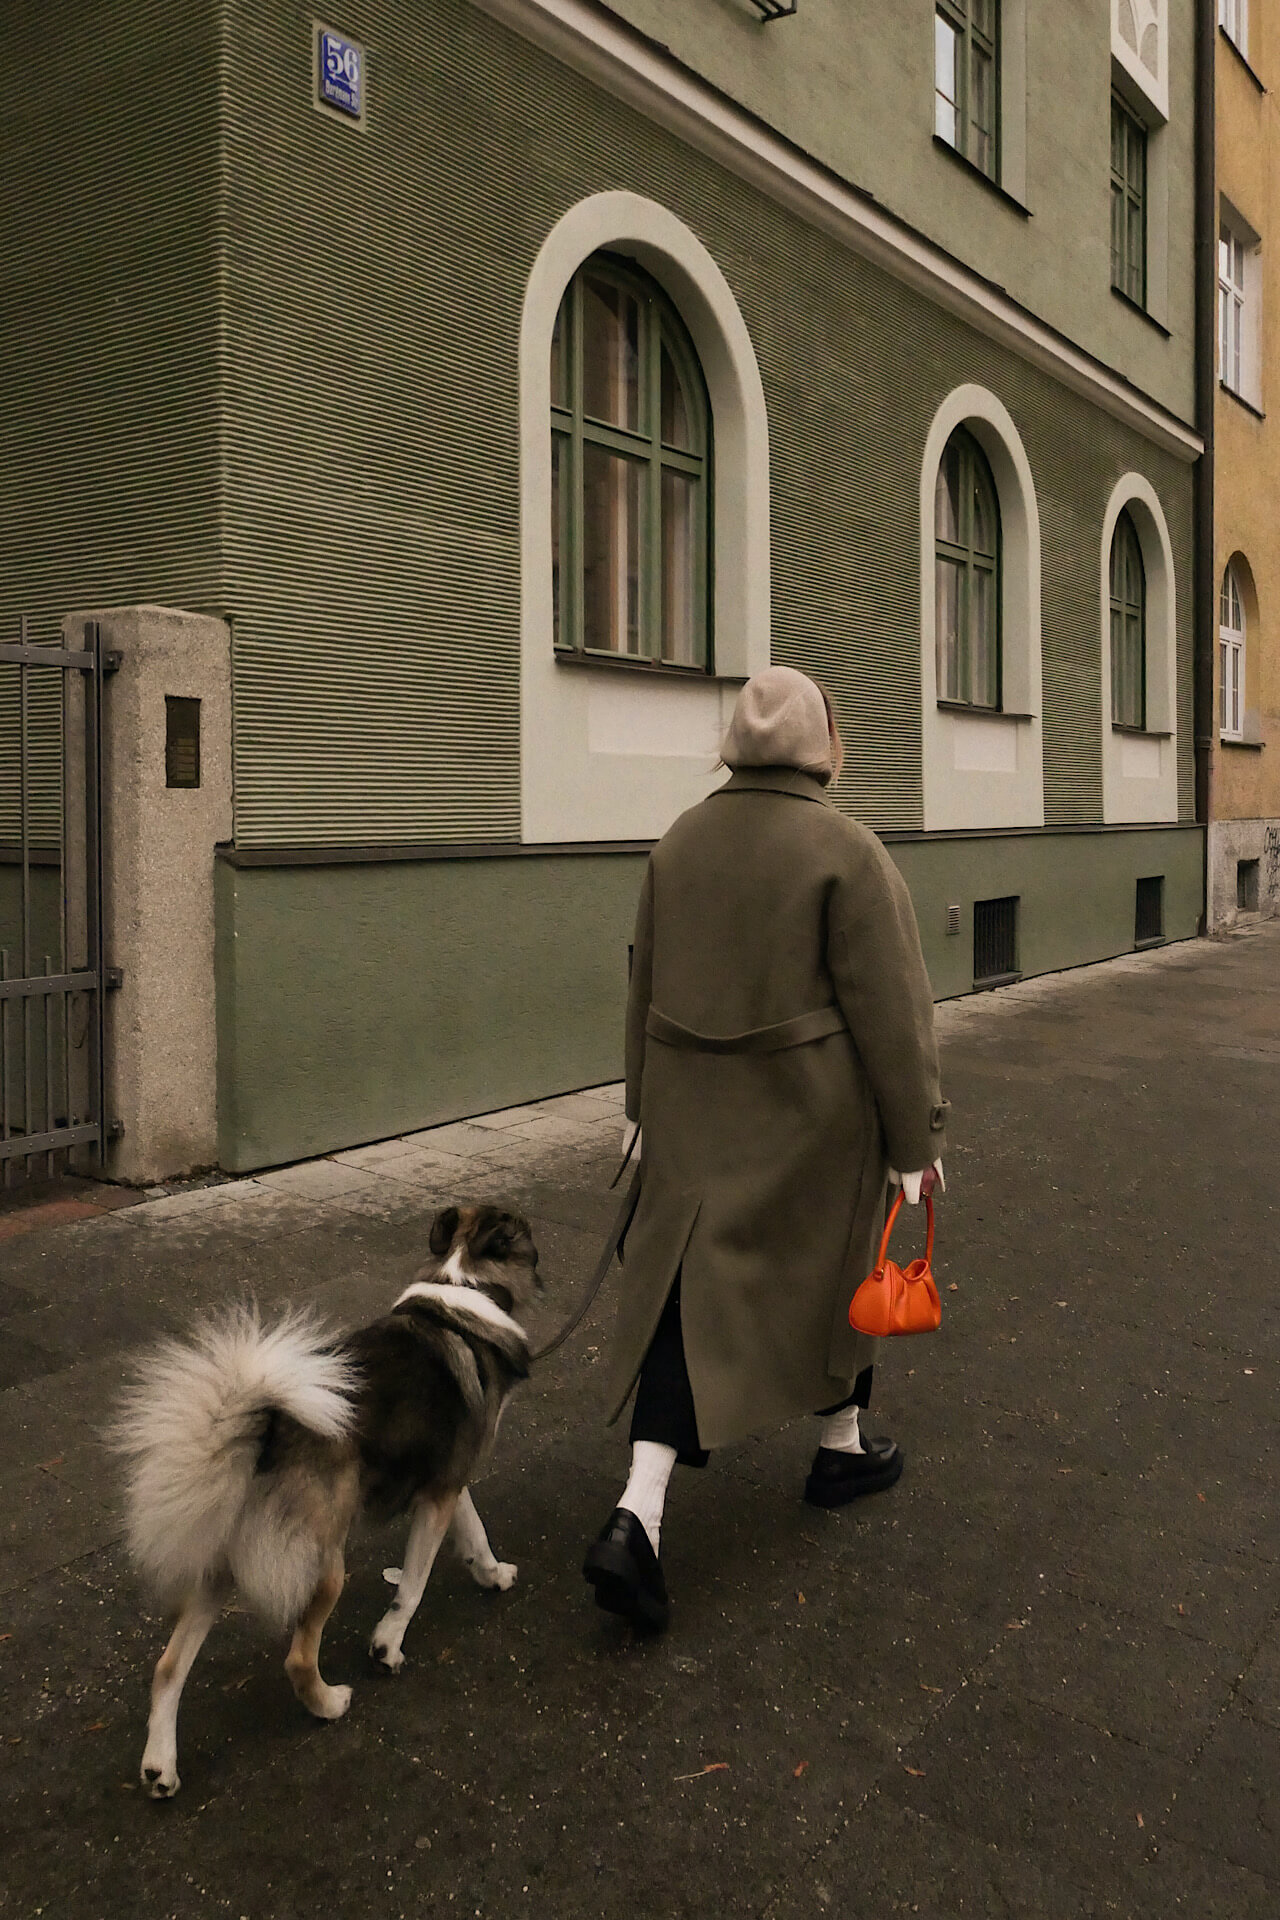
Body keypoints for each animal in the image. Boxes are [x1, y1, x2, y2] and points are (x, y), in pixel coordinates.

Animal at [111, 1205, 545, 1789]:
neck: (463, 1284)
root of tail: (267, 1431)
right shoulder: (440, 1493)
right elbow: (413, 1585)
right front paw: (386, 1647)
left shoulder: (447, 1484)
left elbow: (475, 1536)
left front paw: (492, 1576)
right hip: (326, 1564)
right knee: (297, 1657)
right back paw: (330, 1703)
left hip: (218, 1568)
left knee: (168, 1667)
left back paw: (160, 1767)